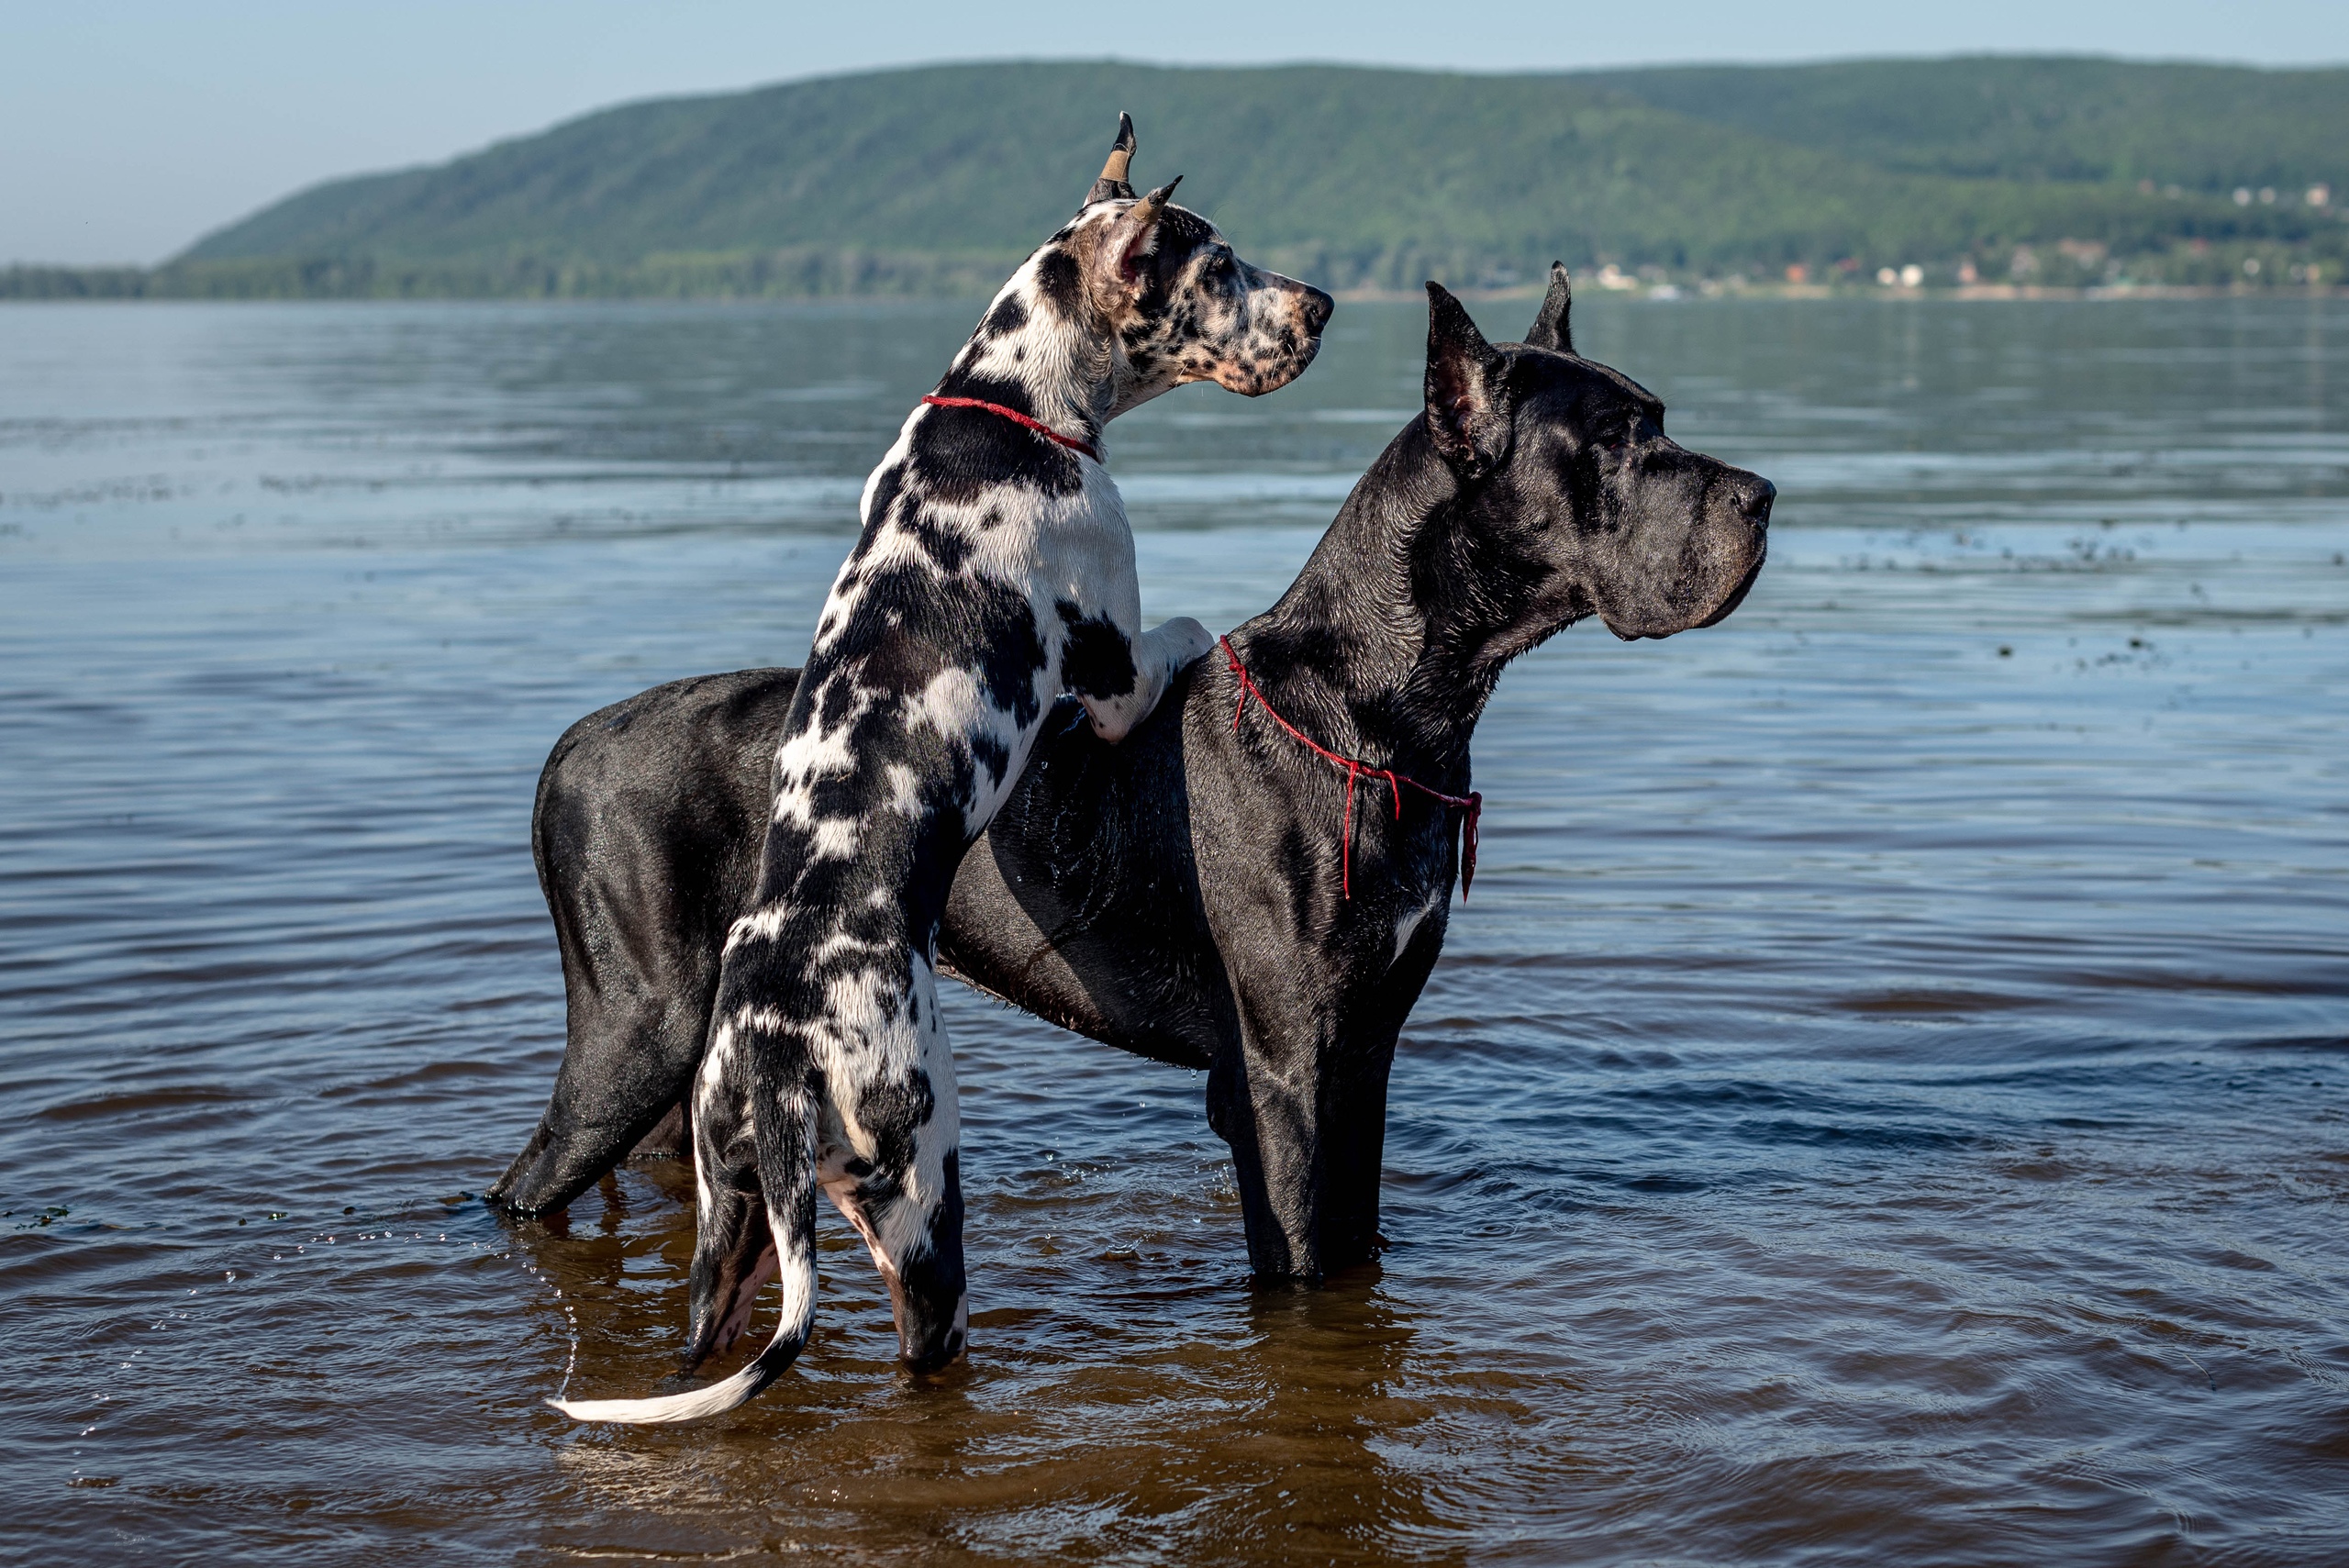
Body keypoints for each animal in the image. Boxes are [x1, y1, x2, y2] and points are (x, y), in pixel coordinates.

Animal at [540, 119, 1334, 1418]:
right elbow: (1176, 634)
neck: (1009, 406)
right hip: (924, 1207)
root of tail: (782, 1056)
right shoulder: (1113, 670)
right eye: (1218, 266)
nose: (1320, 303)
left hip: (724, 1218)